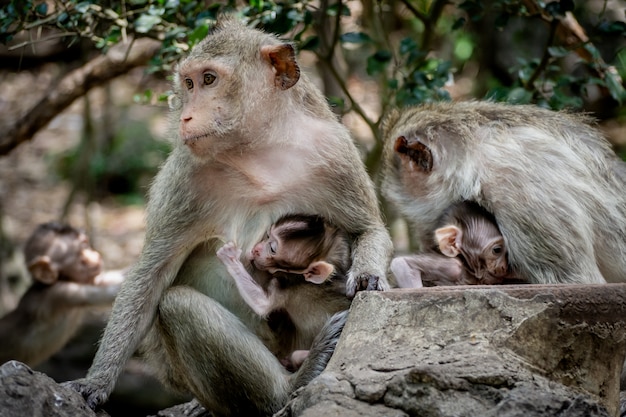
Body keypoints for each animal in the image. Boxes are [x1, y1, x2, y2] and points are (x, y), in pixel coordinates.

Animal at [216, 214, 352, 370]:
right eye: (267, 235)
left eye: (272, 248)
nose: (256, 249)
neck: (302, 280)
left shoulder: (285, 287)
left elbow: (263, 305)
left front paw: (230, 257)